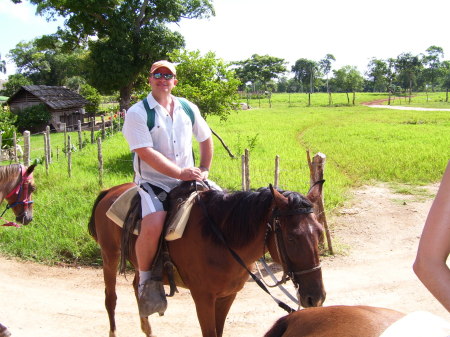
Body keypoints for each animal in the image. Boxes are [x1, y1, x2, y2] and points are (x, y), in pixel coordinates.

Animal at [88, 181, 326, 336]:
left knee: (138, 286)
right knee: (111, 298)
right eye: (292, 237)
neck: (221, 238)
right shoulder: (203, 298)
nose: (316, 298)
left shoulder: (227, 296)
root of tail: (110, 191)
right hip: (109, 256)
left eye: (320, 232)